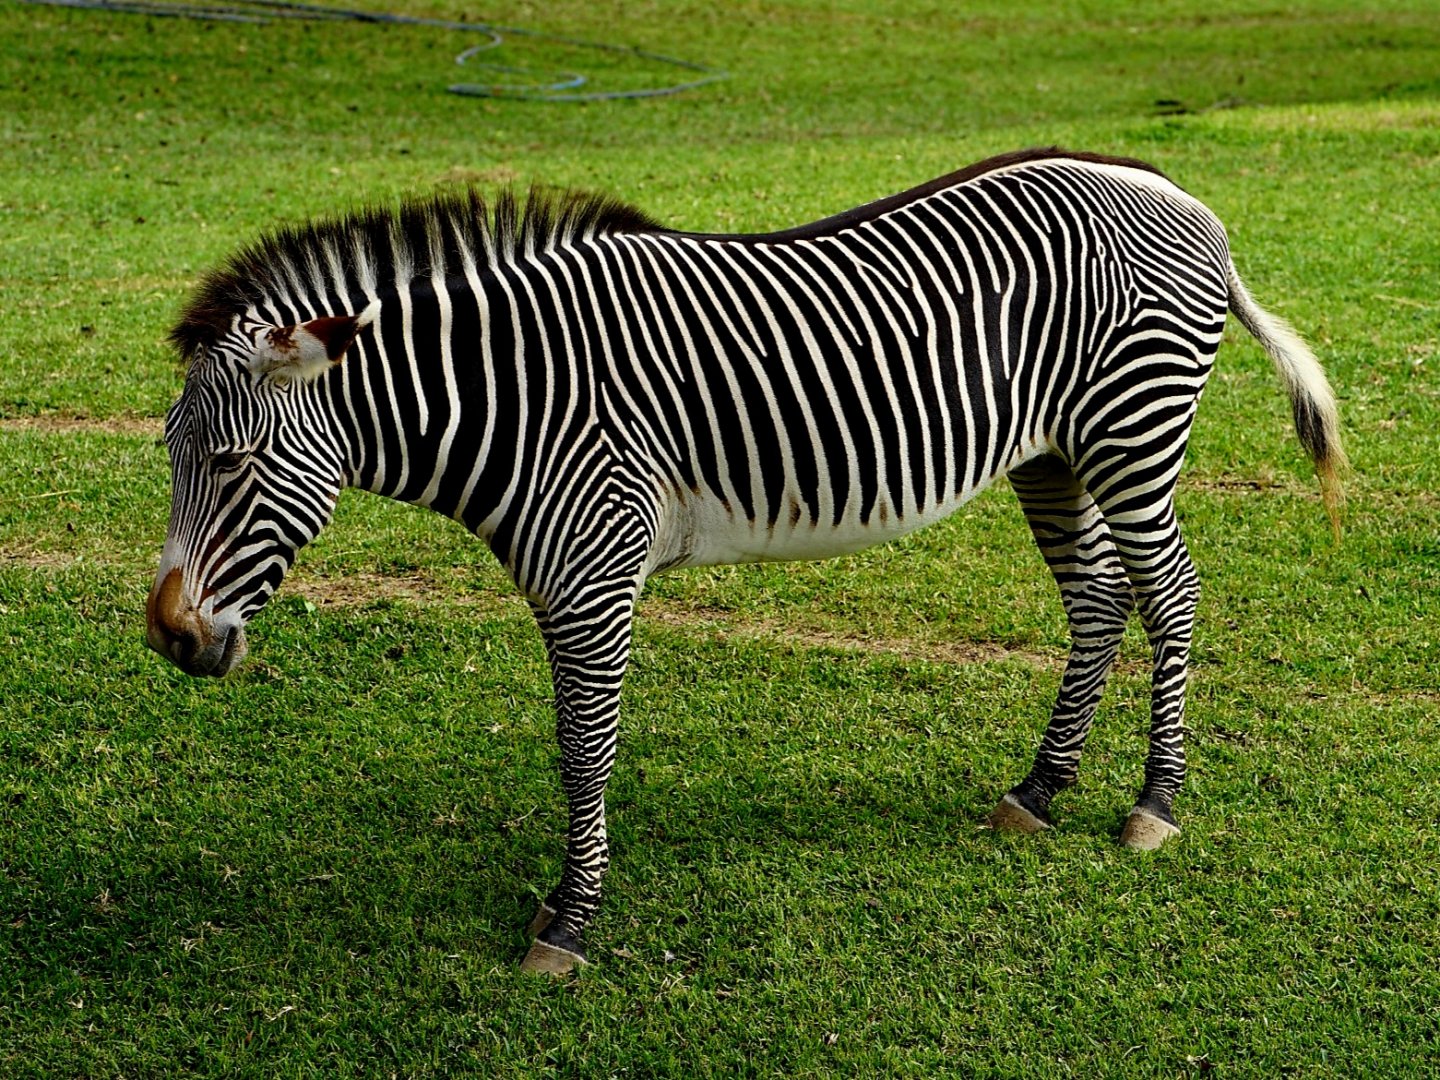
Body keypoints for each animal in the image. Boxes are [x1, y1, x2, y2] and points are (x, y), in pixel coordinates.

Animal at [146, 147, 1346, 975]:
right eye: (168, 454)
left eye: (237, 462)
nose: (170, 635)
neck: (515, 395)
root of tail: (1169, 187)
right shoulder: (559, 579)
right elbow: (578, 744)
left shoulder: (595, 569)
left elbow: (583, 752)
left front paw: (569, 923)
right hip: (1052, 451)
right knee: (1099, 599)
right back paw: (1039, 791)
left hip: (1133, 429)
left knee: (1170, 595)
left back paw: (1155, 804)